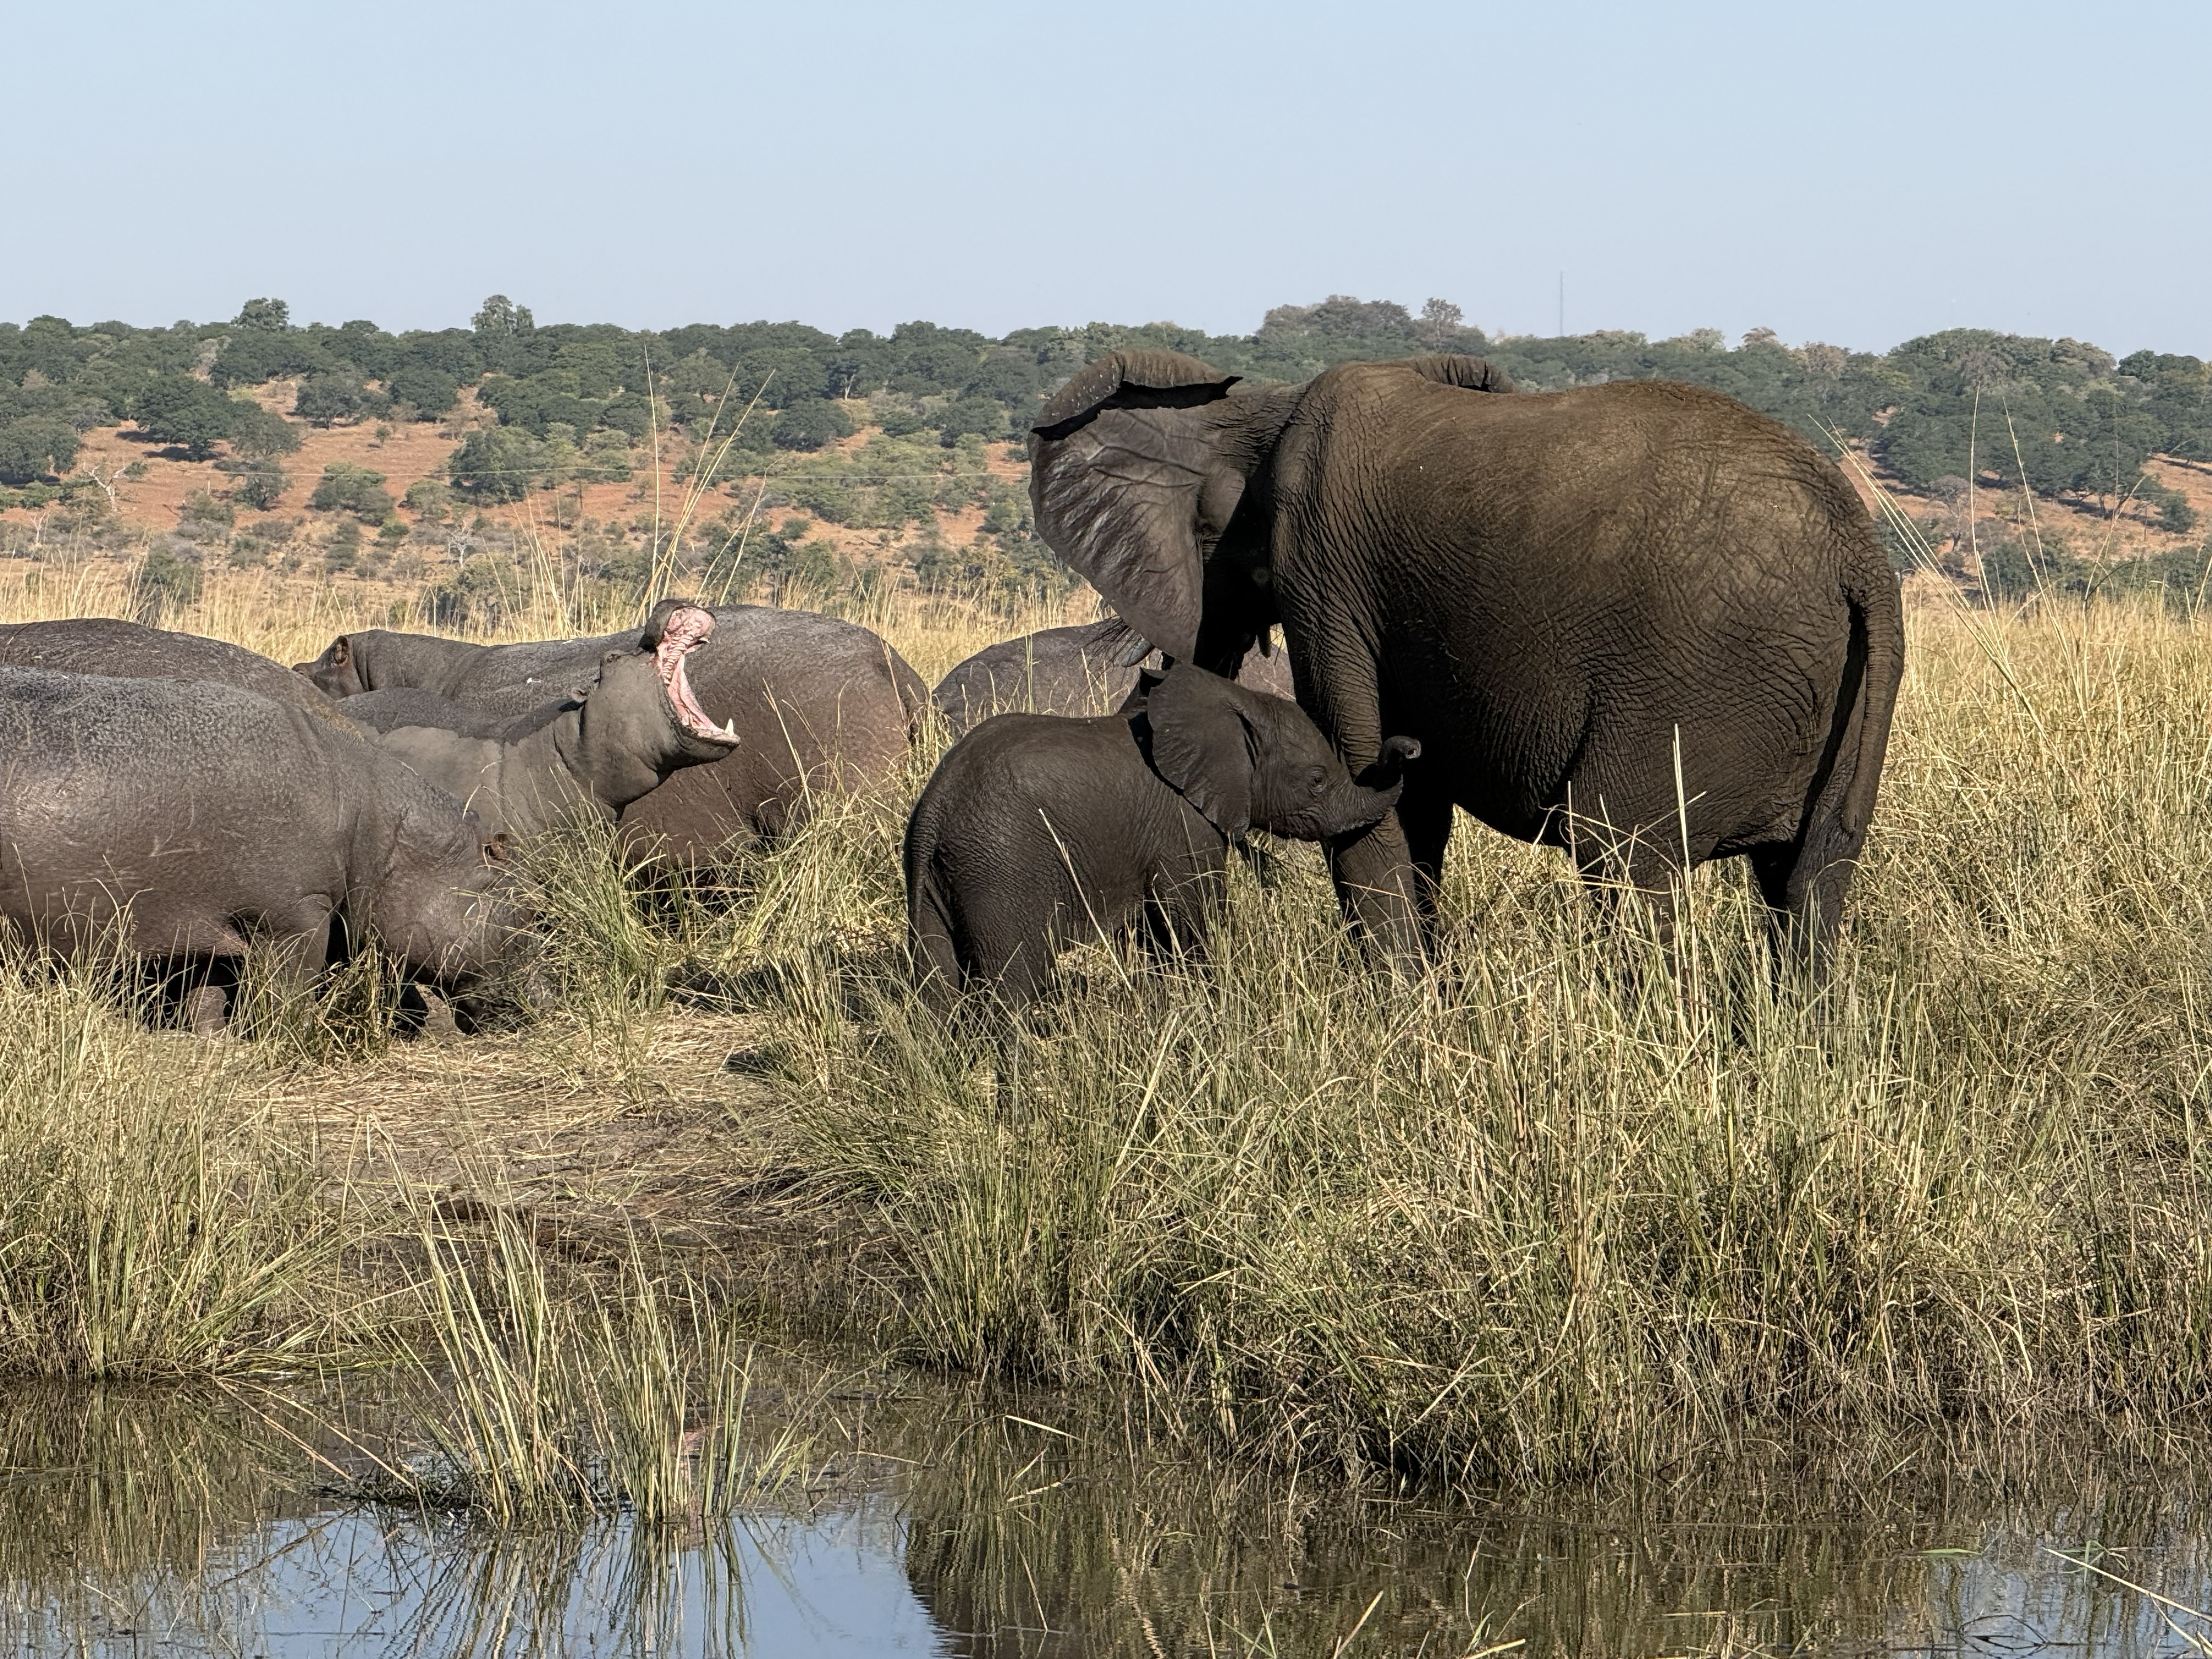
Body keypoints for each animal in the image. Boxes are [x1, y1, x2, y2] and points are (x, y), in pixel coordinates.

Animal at [0, 667, 521, 1033]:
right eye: (524, 908)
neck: (377, 822)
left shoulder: (205, 920)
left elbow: (207, 993)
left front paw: (210, 1039)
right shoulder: (295, 915)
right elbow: (289, 989)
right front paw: (286, 1038)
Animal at [904, 662, 1419, 1012]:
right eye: (1317, 781)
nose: (1410, 747)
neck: (1234, 702)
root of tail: (935, 811)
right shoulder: (1184, 827)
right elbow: (1191, 923)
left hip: (938, 875)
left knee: (935, 989)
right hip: (1000, 869)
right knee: (1011, 991)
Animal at [1027, 350, 1906, 970]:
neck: (1259, 406)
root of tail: (1860, 557)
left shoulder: (1325, 572)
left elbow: (1370, 793)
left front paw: (1402, 1022)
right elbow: (1413, 810)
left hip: (1696, 682)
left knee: (1621, 855)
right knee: (1809, 882)